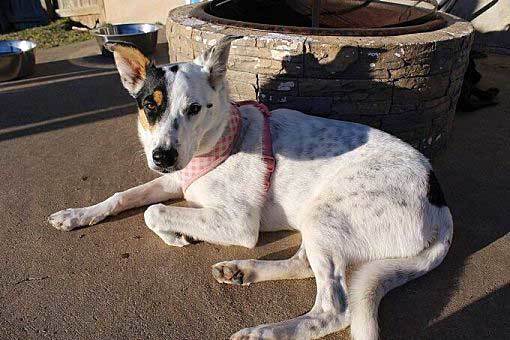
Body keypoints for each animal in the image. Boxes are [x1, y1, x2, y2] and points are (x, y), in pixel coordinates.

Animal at [48, 35, 454, 338]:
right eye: (150, 105)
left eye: (194, 109)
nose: (162, 156)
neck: (225, 138)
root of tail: (441, 206)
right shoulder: (175, 179)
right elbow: (125, 197)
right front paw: (77, 214)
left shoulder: (238, 224)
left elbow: (153, 211)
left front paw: (173, 234)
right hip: (318, 223)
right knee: (303, 265)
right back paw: (243, 271)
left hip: (325, 216)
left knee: (333, 310)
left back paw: (267, 331)